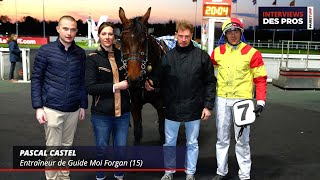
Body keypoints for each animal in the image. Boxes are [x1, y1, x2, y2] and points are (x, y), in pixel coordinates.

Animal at [119, 7, 166, 144]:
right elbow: (137, 131)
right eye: (123, 41)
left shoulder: (162, 106)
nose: (134, 79)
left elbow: (163, 131)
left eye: (144, 41)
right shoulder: (135, 105)